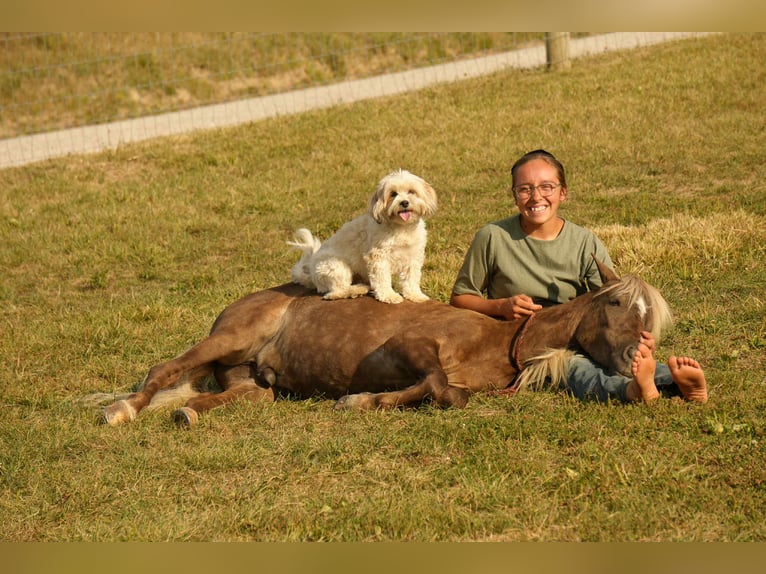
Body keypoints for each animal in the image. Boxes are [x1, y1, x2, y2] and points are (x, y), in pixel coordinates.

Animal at [100, 259, 673, 426]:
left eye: (652, 322)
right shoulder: (409, 347)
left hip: (254, 381)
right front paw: (360, 400)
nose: (636, 359)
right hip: (229, 338)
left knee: (228, 395)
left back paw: (188, 413)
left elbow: (444, 393)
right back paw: (121, 410)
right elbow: (440, 385)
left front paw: (363, 401)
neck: (497, 339)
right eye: (616, 305)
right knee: (164, 369)